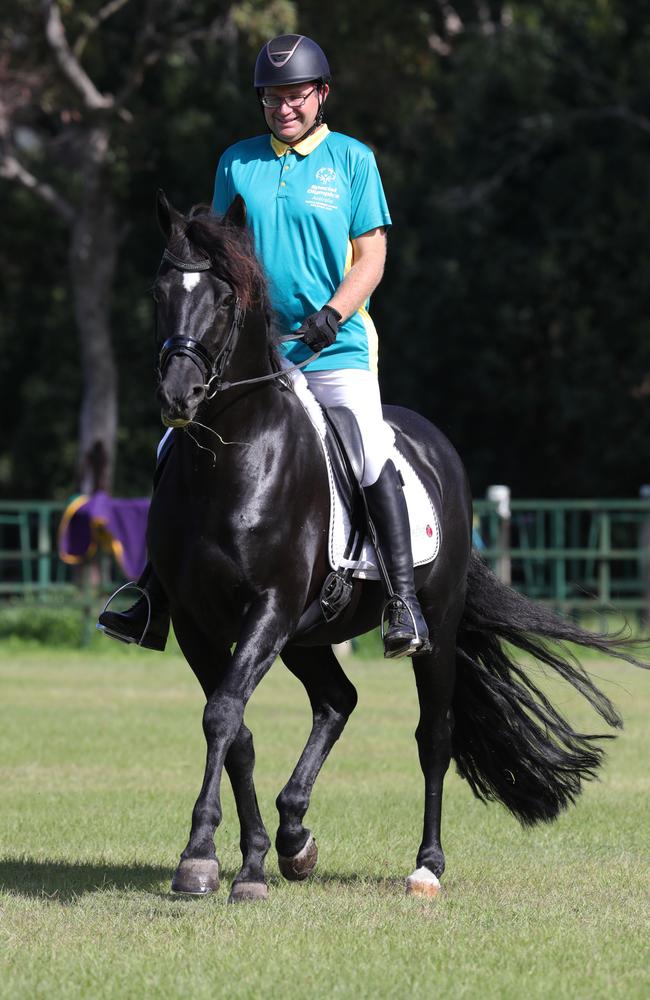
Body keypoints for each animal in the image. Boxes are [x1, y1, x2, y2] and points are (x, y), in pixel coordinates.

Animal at [146, 191, 636, 904]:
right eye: (160, 292)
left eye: (227, 297)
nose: (177, 396)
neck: (229, 459)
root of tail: (437, 446)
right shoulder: (196, 623)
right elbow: (234, 729)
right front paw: (245, 859)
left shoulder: (267, 608)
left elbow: (223, 715)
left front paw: (202, 855)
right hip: (308, 636)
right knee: (338, 700)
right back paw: (294, 836)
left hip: (431, 624)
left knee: (434, 735)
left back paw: (426, 867)